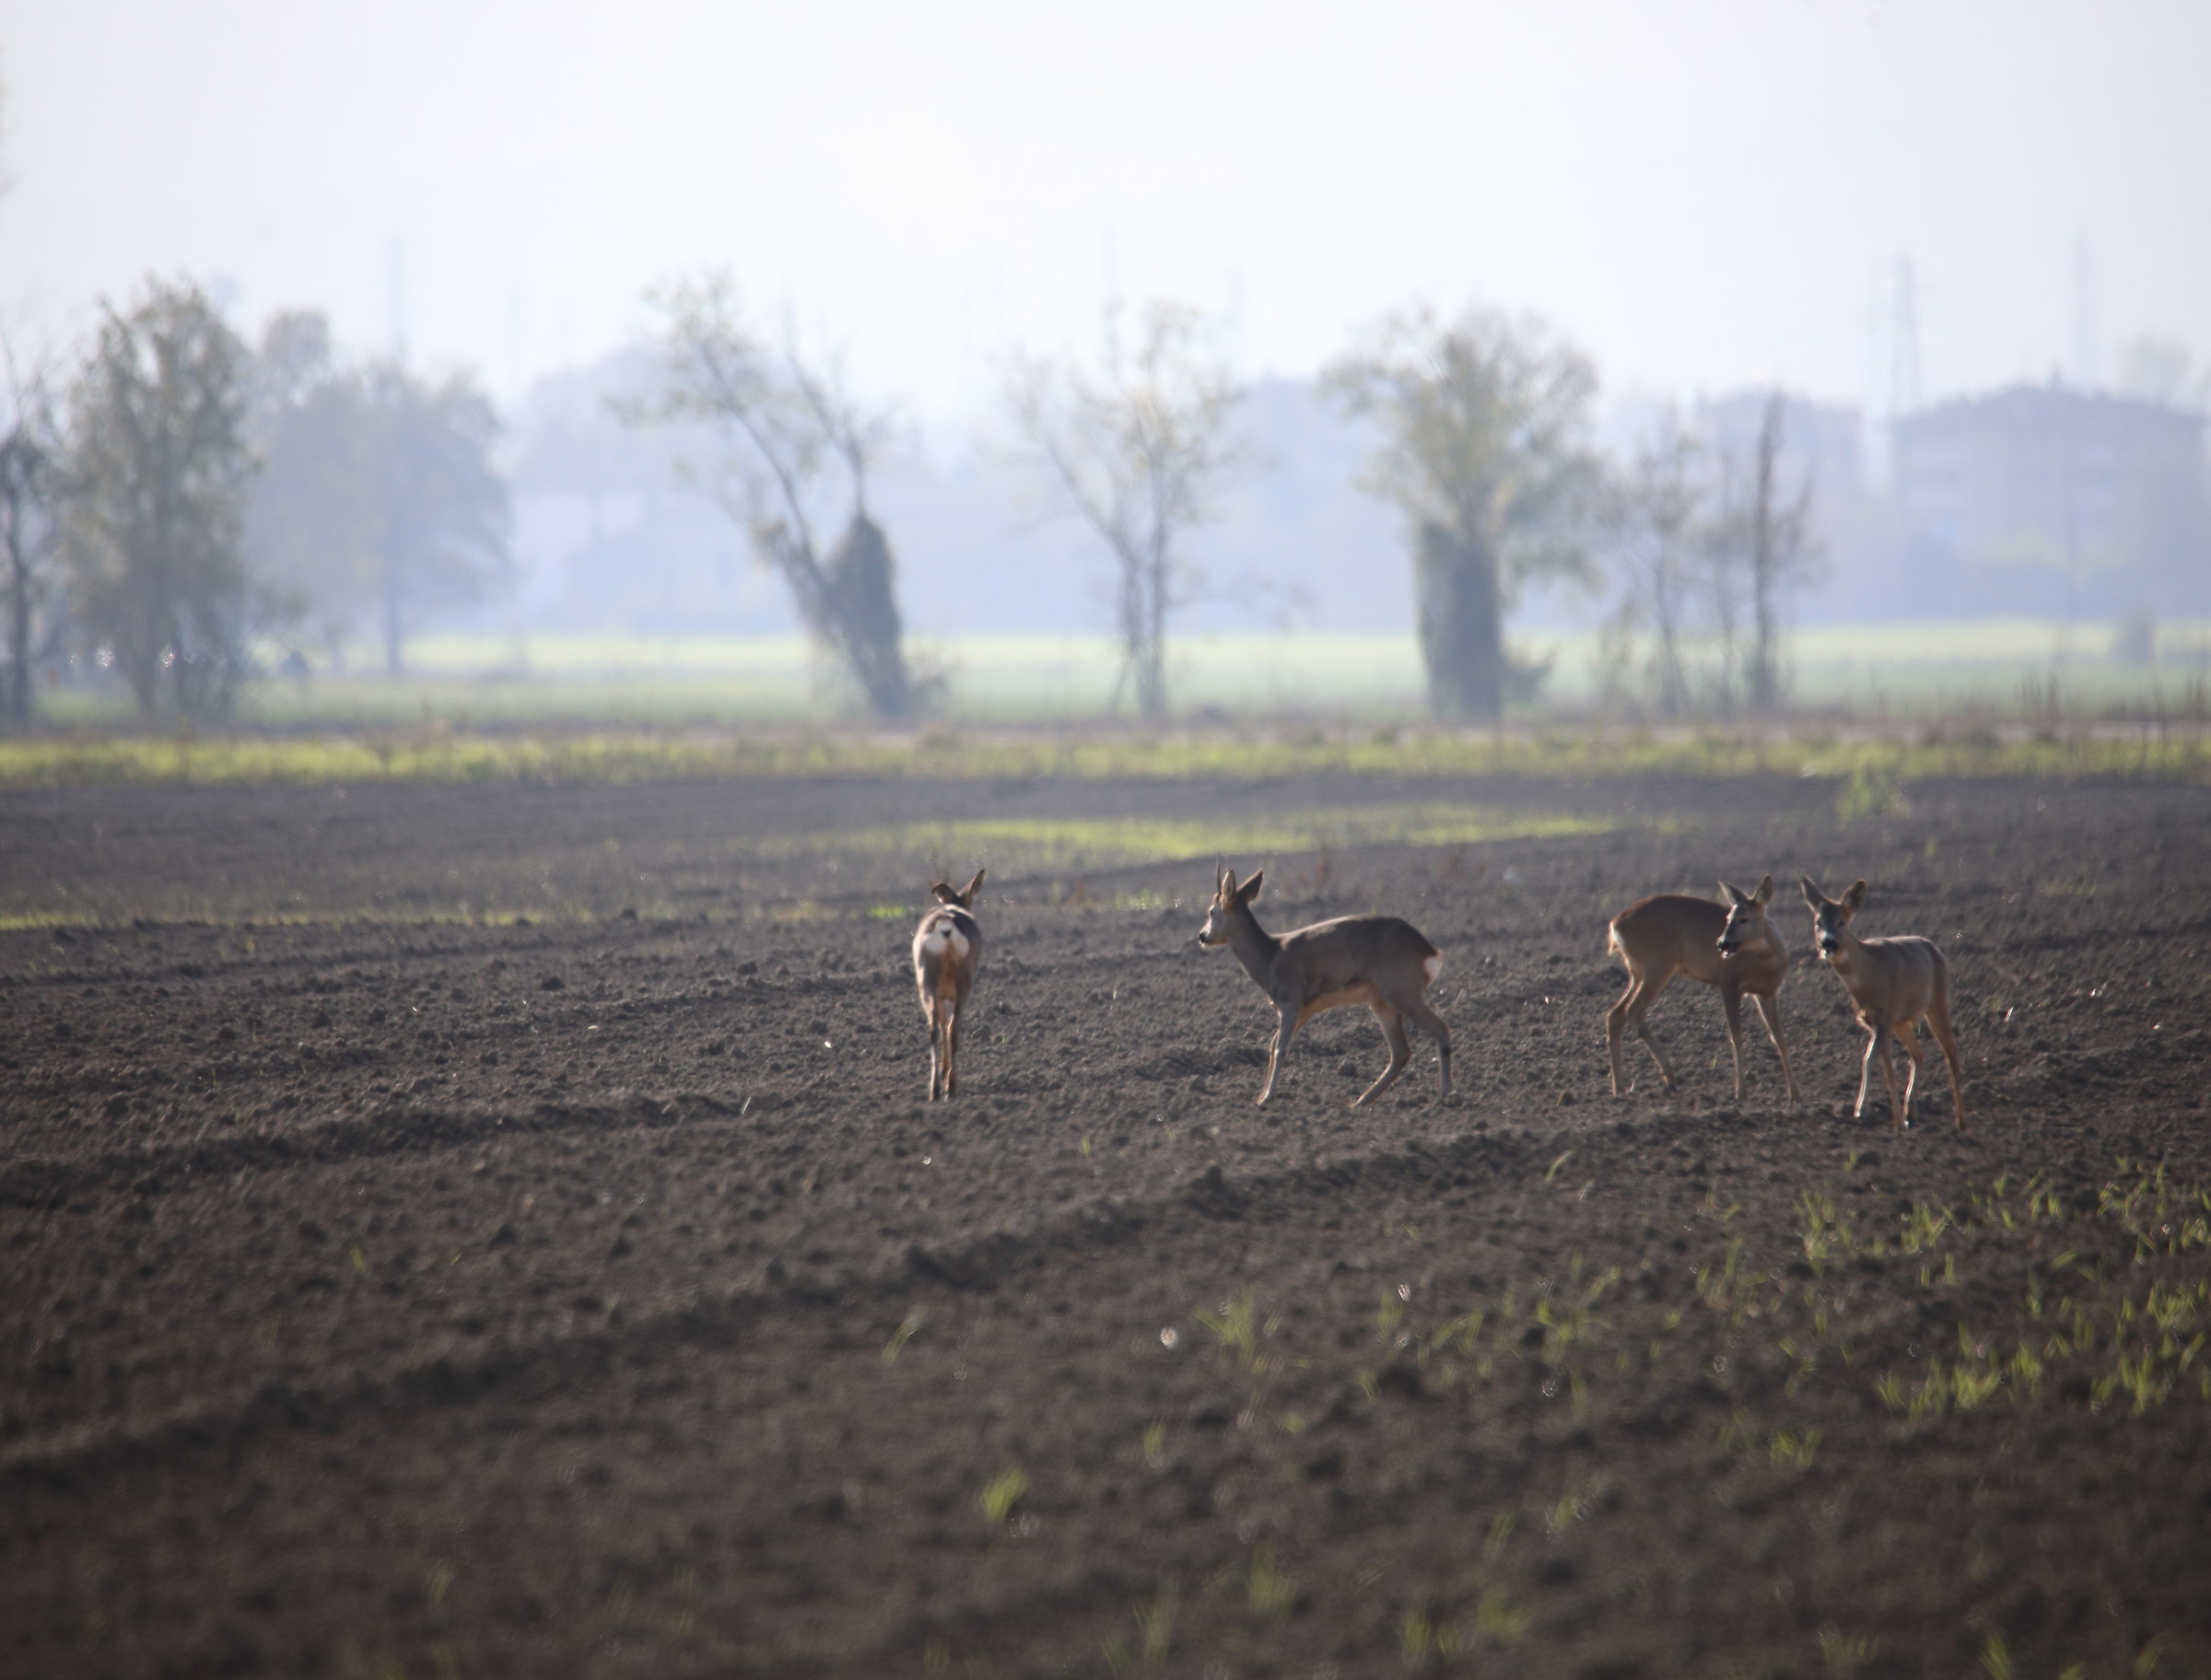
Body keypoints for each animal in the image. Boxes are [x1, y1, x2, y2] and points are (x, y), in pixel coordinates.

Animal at [911, 869, 985, 1102]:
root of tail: (946, 926)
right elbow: (948, 1024)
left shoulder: (938, 996)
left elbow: (941, 1023)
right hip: (964, 985)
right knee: (953, 1028)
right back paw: (950, 1087)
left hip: (927, 985)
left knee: (934, 1030)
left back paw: (935, 1090)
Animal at [1195, 864, 1452, 1108]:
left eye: (1211, 911)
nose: (1202, 936)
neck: (1269, 958)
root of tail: (1430, 952)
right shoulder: (1304, 1010)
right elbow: (1272, 1044)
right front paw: (1261, 1096)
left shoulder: (1291, 1000)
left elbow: (1280, 1048)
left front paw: (1267, 1098)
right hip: (1382, 1001)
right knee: (1401, 1052)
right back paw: (1362, 1100)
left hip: (1400, 990)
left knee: (1439, 1028)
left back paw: (1446, 1094)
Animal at [1605, 875, 1801, 1104]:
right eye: (1728, 918)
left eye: (1744, 919)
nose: (1722, 943)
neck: (1766, 962)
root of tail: (1616, 924)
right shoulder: (1729, 983)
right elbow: (1737, 1037)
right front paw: (1740, 1093)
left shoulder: (1767, 993)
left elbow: (1779, 1037)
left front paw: (1795, 1095)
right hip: (1657, 965)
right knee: (1633, 1009)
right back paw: (1669, 1078)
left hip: (1637, 972)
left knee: (1615, 1015)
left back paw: (1619, 1088)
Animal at [1800, 876, 1966, 1133]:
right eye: (1818, 922)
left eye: (1842, 921)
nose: (1828, 944)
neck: (1868, 977)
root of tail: (1934, 948)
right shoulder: (1874, 1021)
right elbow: (1886, 1069)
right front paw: (1895, 1122)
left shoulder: (1884, 1017)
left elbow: (1868, 1061)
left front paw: (1860, 1111)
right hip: (1901, 1022)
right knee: (1919, 1054)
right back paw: (1910, 1114)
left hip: (1937, 1003)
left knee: (1952, 1056)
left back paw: (1960, 1122)